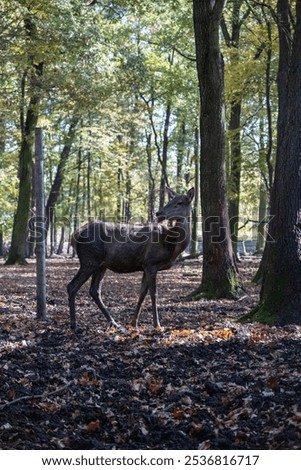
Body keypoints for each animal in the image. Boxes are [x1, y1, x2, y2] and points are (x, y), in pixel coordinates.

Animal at [66, 187, 193, 330]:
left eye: (180, 202)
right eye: (170, 200)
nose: (158, 213)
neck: (171, 244)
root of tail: (74, 235)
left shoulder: (145, 266)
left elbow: (142, 293)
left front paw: (133, 323)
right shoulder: (151, 263)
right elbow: (154, 294)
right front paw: (157, 324)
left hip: (101, 265)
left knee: (94, 290)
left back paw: (113, 322)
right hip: (89, 260)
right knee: (72, 286)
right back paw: (74, 324)